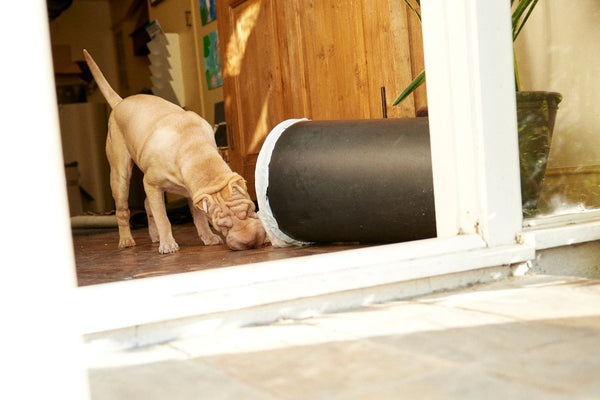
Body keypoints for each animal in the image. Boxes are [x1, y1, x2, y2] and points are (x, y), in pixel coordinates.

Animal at [82, 49, 264, 253]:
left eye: (249, 210)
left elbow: (198, 217)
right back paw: (127, 239)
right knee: (124, 210)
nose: (250, 242)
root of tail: (120, 102)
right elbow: (163, 218)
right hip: (120, 175)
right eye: (222, 226)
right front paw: (168, 244)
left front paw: (208, 237)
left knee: (147, 204)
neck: (196, 152)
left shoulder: (194, 192)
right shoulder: (151, 183)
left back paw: (154, 236)